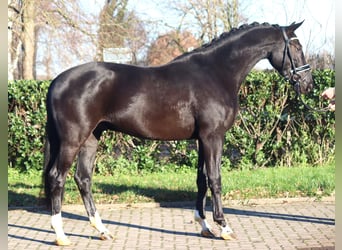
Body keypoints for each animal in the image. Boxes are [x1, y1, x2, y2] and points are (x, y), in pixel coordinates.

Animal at [42, 21, 312, 244]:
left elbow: (202, 180)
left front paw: (204, 226)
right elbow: (215, 179)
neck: (216, 72)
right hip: (72, 140)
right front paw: (224, 227)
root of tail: (57, 81)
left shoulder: (202, 139)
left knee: (83, 179)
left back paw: (102, 230)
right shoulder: (213, 137)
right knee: (57, 177)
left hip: (91, 138)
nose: (308, 84)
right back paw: (61, 235)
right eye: (296, 46)